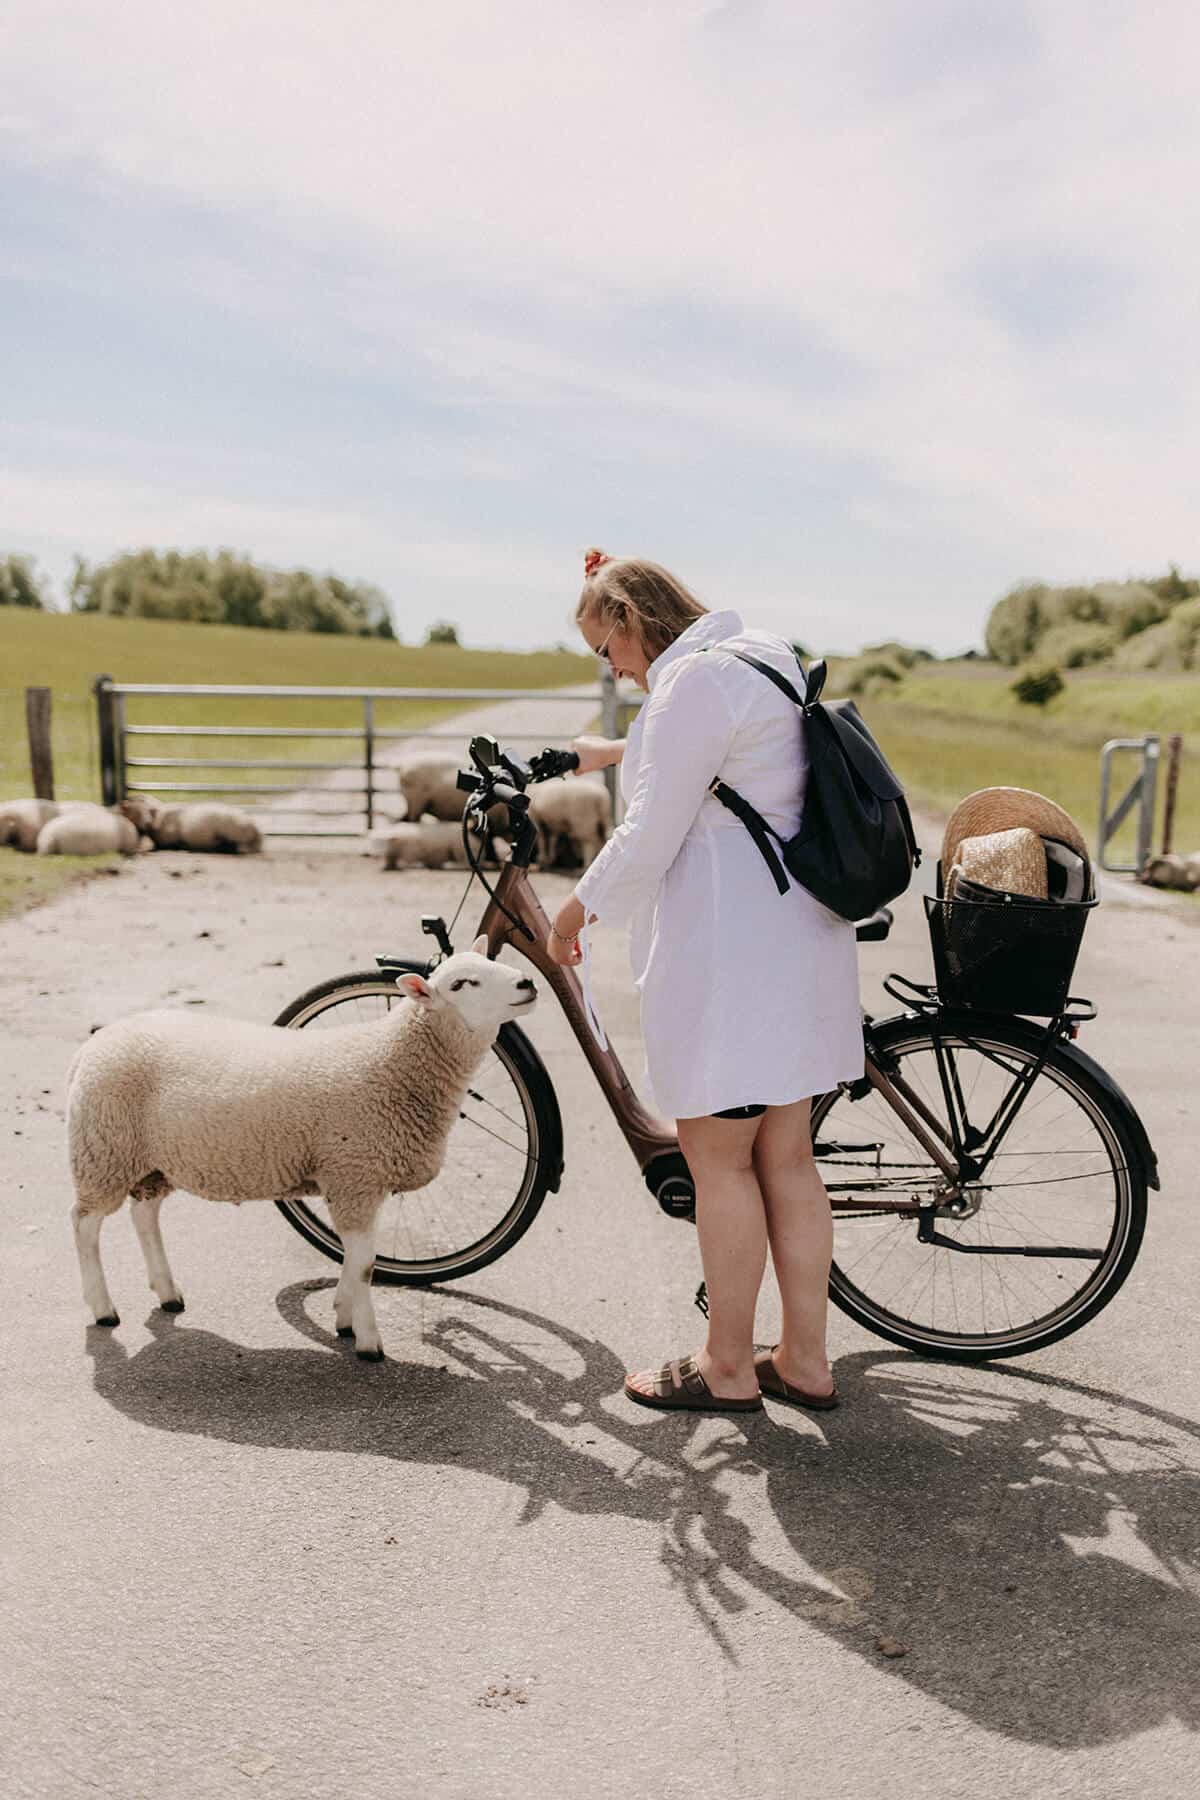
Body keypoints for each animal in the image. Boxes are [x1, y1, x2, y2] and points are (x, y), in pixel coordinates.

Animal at [65, 950, 536, 1353]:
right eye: (461, 983)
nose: (527, 982)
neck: (394, 1063)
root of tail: (93, 1046)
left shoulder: (360, 1179)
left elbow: (356, 1258)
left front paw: (344, 1316)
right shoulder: (354, 1174)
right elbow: (365, 1264)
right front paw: (368, 1341)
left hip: (152, 1159)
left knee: (144, 1214)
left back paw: (167, 1293)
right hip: (104, 1150)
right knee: (84, 1224)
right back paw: (103, 1308)